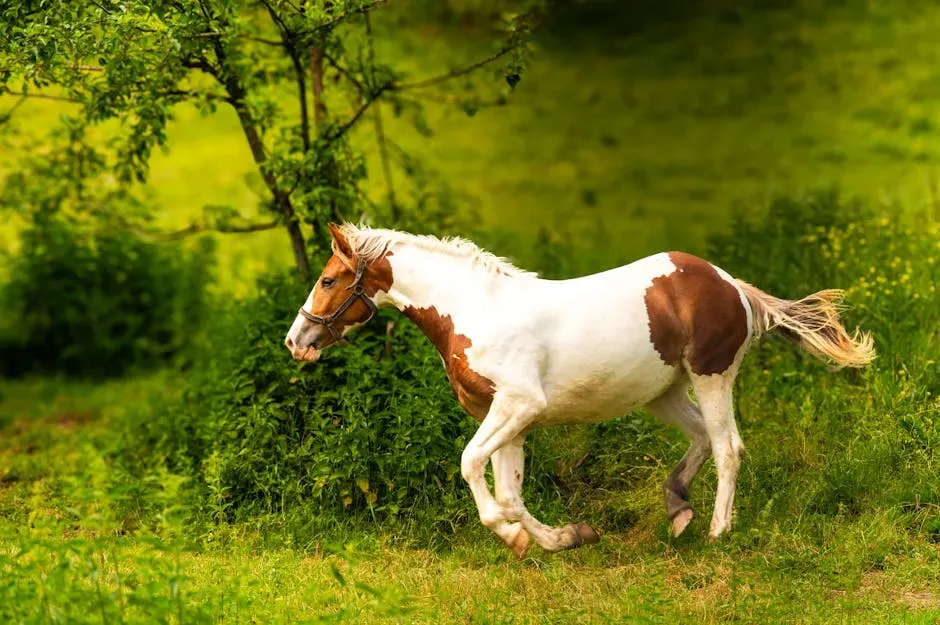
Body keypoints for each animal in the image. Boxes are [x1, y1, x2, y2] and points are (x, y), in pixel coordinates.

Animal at [285, 223, 875, 559]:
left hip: (712, 376)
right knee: (703, 441)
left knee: (729, 447)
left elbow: (472, 467)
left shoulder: (518, 405)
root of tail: (731, 285)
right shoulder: (507, 418)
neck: (475, 310)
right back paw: (678, 511)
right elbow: (510, 492)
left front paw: (514, 537)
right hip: (662, 391)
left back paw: (716, 532)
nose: (297, 340)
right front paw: (561, 538)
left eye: (330, 279)